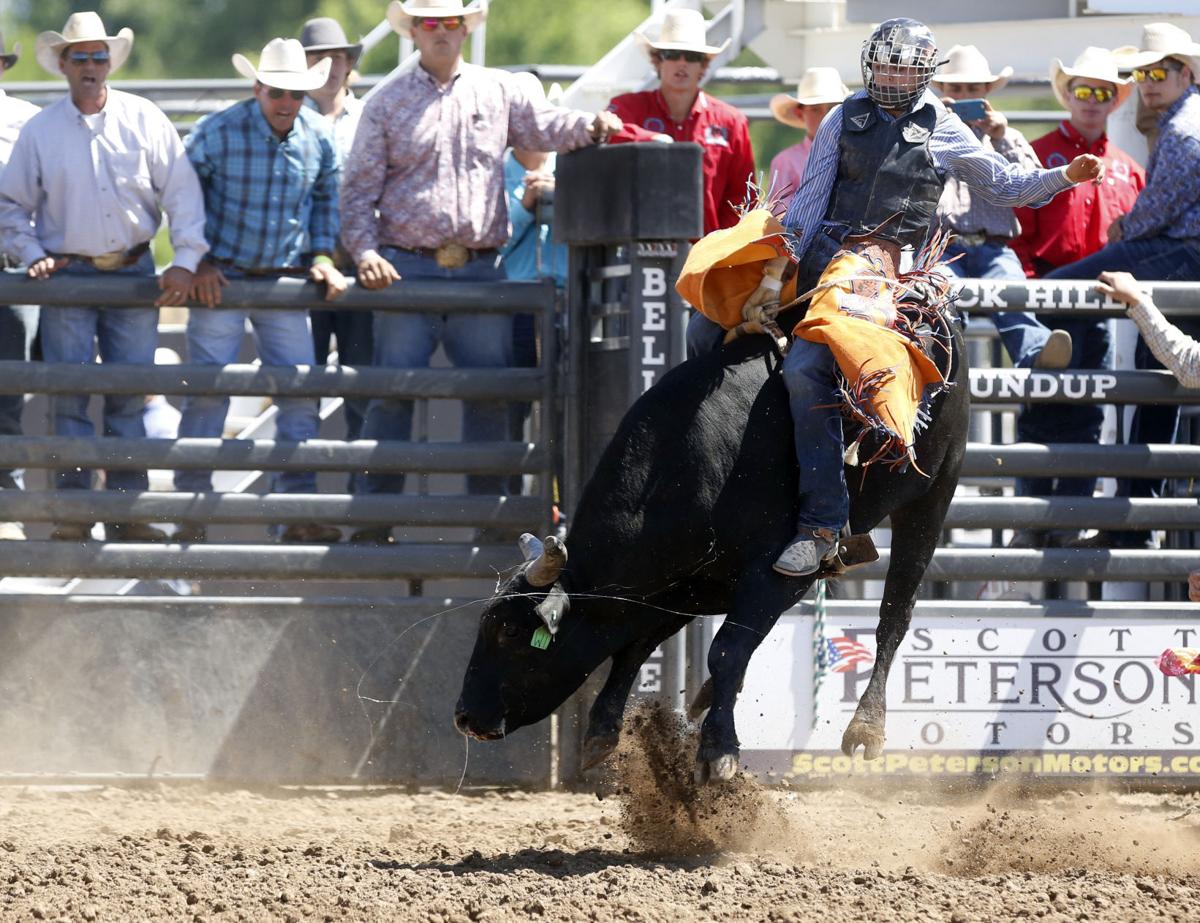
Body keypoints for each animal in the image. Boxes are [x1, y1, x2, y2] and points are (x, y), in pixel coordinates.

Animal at [453, 326, 969, 782]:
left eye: (510, 632)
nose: (464, 716)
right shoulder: (686, 586)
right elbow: (639, 646)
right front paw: (603, 732)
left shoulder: (771, 574)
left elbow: (725, 649)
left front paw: (718, 751)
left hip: (933, 493)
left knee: (894, 614)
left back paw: (865, 728)